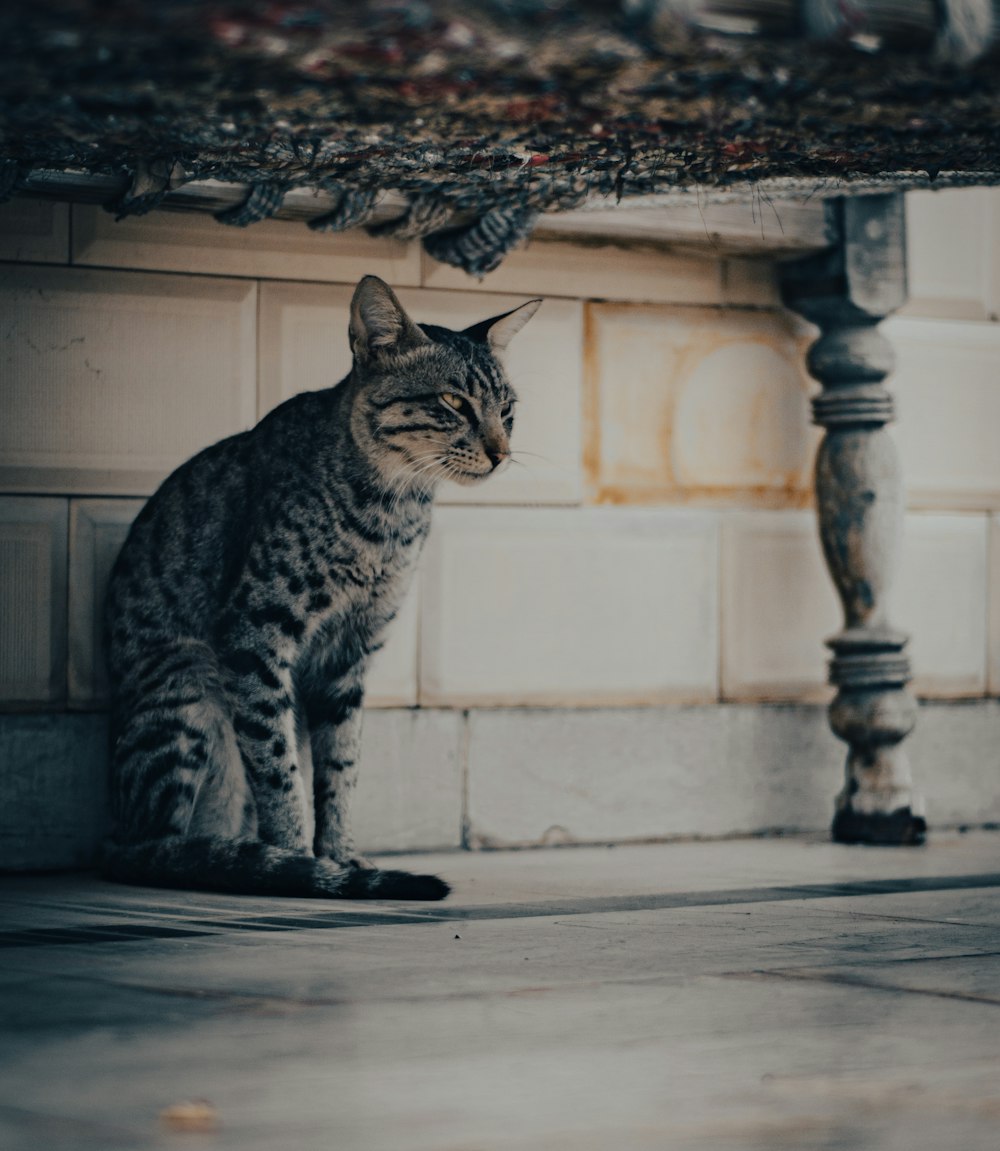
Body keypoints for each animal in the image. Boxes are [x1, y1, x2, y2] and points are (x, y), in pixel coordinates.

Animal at [105, 276, 543, 897]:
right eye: (455, 403)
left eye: (507, 409)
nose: (502, 454)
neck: (389, 514)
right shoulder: (256, 632)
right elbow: (277, 765)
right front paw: (298, 861)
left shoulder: (351, 654)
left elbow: (340, 769)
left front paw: (339, 856)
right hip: (189, 674)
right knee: (154, 847)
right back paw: (227, 857)